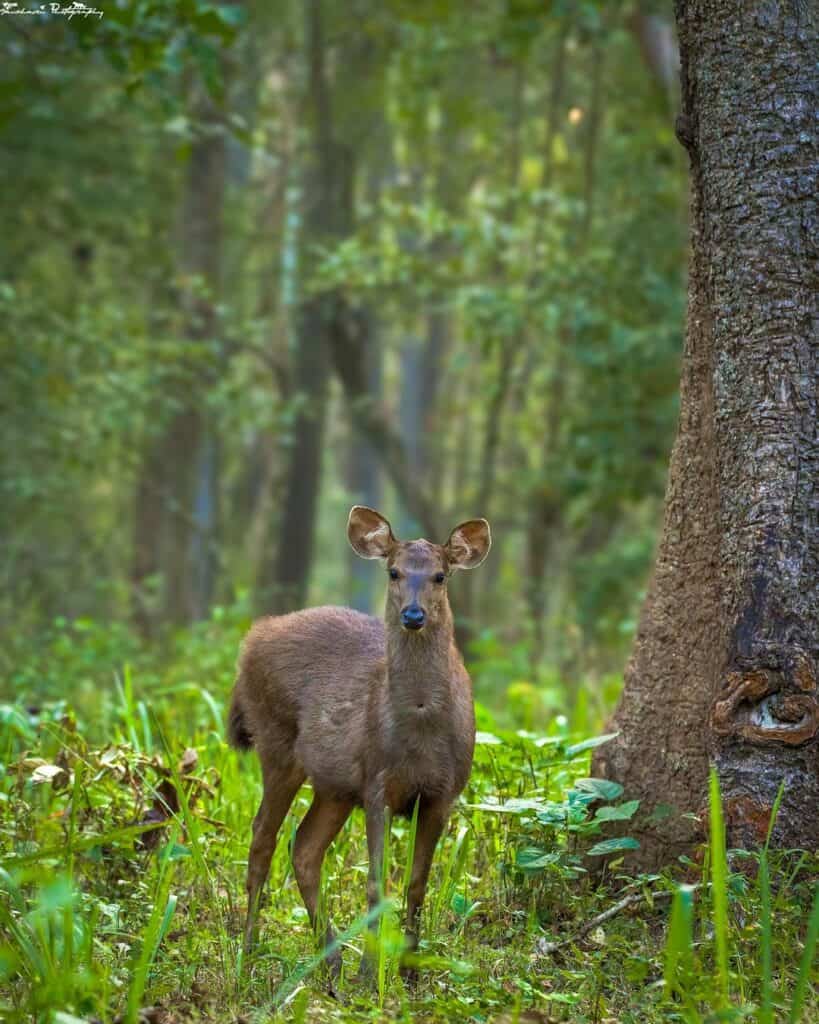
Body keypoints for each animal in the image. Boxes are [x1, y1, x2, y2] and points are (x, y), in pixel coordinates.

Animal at [227, 507, 489, 978]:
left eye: (440, 575)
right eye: (394, 571)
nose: (413, 615)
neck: (420, 727)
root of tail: (253, 637)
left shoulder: (442, 794)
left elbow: (417, 883)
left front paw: (410, 971)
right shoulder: (377, 783)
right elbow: (376, 882)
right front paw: (371, 974)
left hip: (334, 786)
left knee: (304, 847)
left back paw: (330, 960)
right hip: (276, 743)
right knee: (262, 838)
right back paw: (249, 953)